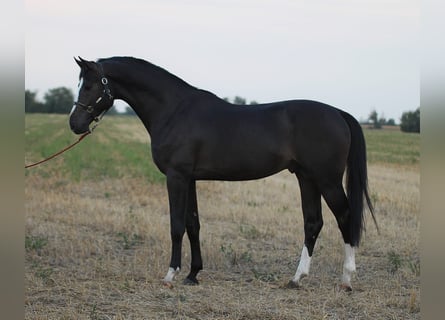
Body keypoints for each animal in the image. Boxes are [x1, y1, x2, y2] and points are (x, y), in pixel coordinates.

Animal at [69, 56, 374, 292]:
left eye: (90, 84)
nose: (75, 123)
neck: (174, 110)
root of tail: (338, 113)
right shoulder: (190, 178)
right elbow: (193, 224)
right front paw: (193, 275)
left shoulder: (176, 177)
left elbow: (176, 225)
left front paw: (170, 275)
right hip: (306, 178)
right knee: (313, 223)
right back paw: (296, 279)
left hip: (327, 180)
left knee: (345, 217)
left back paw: (346, 280)